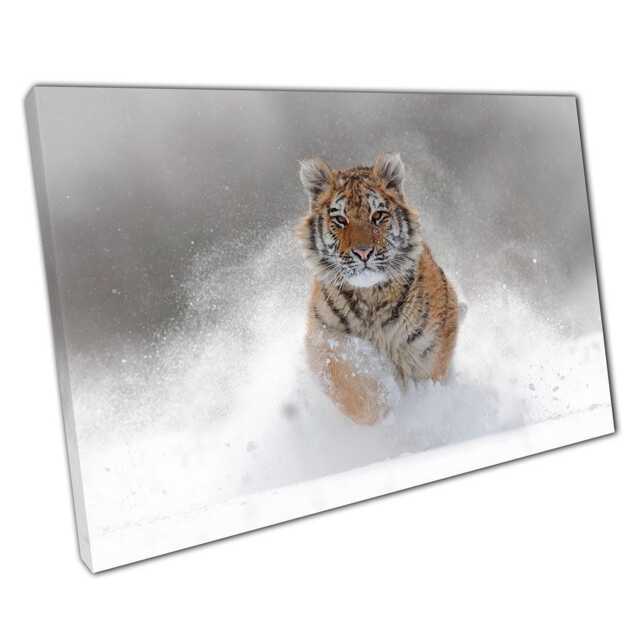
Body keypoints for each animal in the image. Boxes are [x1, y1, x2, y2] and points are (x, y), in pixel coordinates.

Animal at [297, 152, 461, 425]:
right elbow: (351, 385)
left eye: (377, 216)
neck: (370, 296)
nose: (363, 252)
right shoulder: (324, 338)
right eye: (340, 219)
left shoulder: (429, 347)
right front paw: (383, 412)